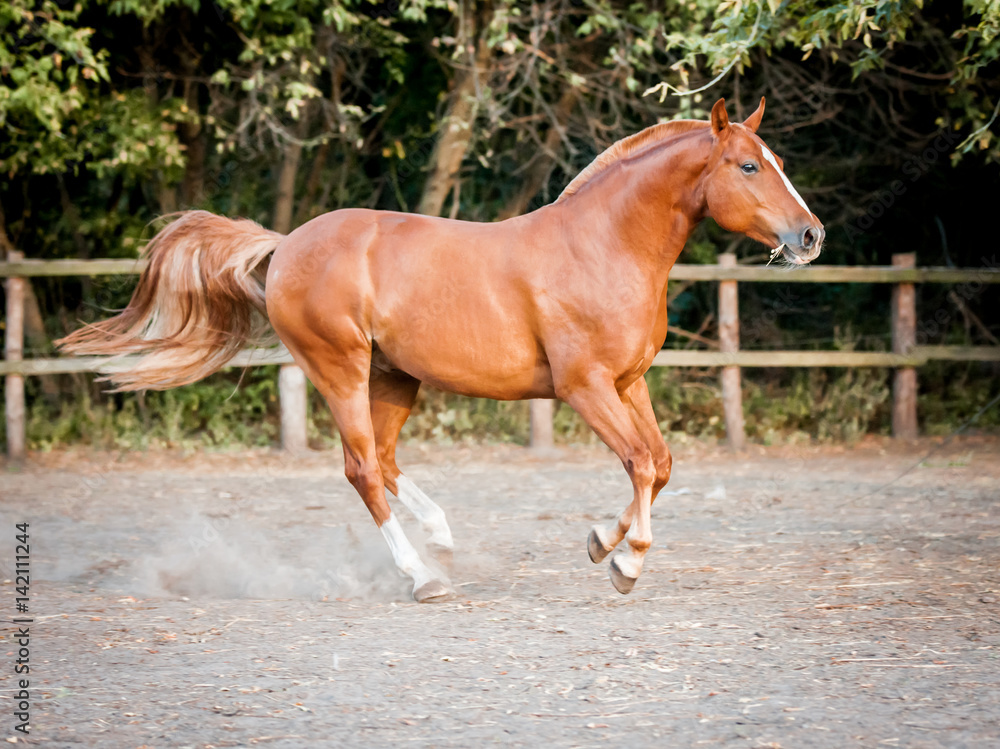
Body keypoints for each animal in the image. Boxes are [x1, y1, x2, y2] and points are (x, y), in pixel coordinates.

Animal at [58, 97, 823, 602]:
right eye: (748, 166)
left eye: (779, 161)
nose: (811, 235)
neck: (605, 244)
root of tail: (286, 245)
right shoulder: (584, 387)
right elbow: (638, 461)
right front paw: (625, 563)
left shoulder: (630, 382)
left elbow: (659, 465)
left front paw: (602, 541)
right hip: (340, 369)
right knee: (362, 468)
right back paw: (424, 577)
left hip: (395, 377)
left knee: (385, 460)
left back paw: (443, 539)